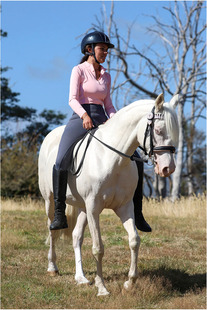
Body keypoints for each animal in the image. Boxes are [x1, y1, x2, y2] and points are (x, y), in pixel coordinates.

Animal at [38, 94, 180, 296]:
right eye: (159, 130)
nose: (168, 168)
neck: (113, 159)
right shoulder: (93, 208)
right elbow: (98, 248)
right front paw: (102, 288)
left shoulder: (124, 207)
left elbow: (134, 240)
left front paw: (130, 283)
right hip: (50, 201)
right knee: (52, 230)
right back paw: (52, 268)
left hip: (82, 207)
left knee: (76, 236)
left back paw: (81, 278)